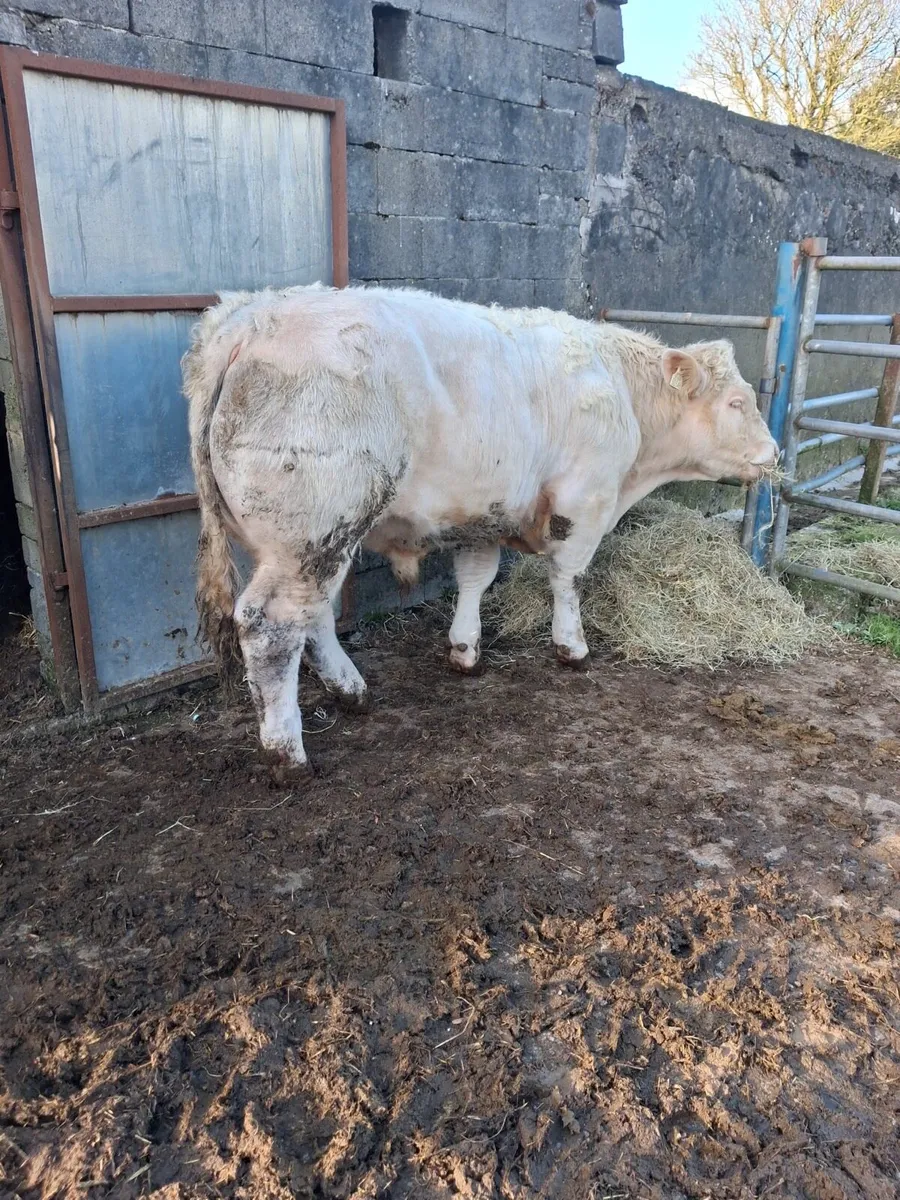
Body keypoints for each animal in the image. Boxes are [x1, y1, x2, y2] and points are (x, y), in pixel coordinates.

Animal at [183, 284, 777, 774]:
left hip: (304, 540)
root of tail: (251, 315)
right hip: (313, 530)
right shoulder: (584, 500)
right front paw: (572, 646)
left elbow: (475, 578)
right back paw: (288, 752)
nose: (773, 453)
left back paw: (351, 691)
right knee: (273, 624)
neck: (624, 396)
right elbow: (569, 577)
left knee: (316, 615)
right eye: (737, 402)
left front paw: (465, 649)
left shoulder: (482, 513)